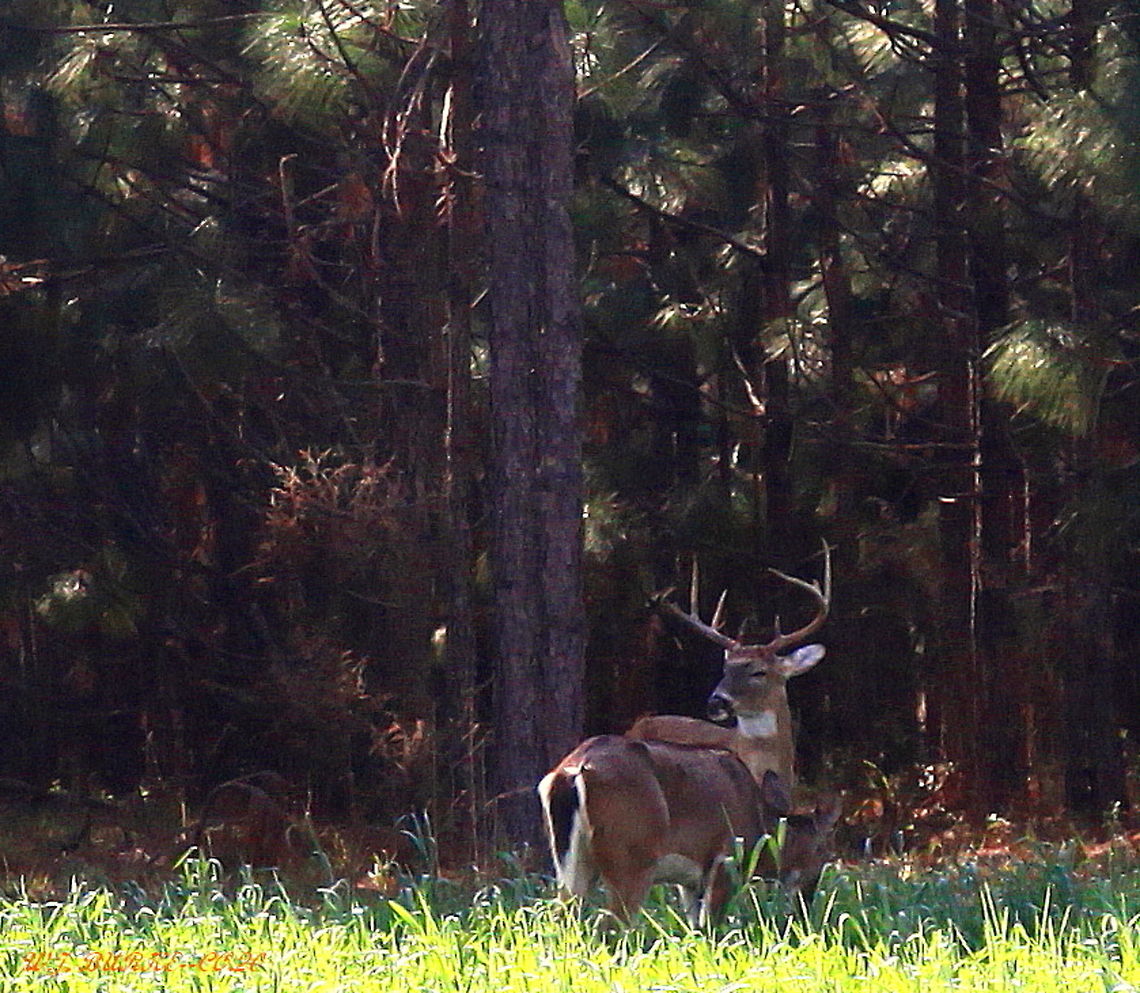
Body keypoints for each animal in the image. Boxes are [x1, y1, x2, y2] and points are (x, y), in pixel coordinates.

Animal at [538, 734, 839, 926]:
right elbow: (711, 927)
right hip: (633, 857)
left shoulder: (691, 881)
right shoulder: (724, 860)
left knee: (561, 917)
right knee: (610, 925)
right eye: (823, 852)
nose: (808, 899)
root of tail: (574, 769)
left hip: (572, 863)